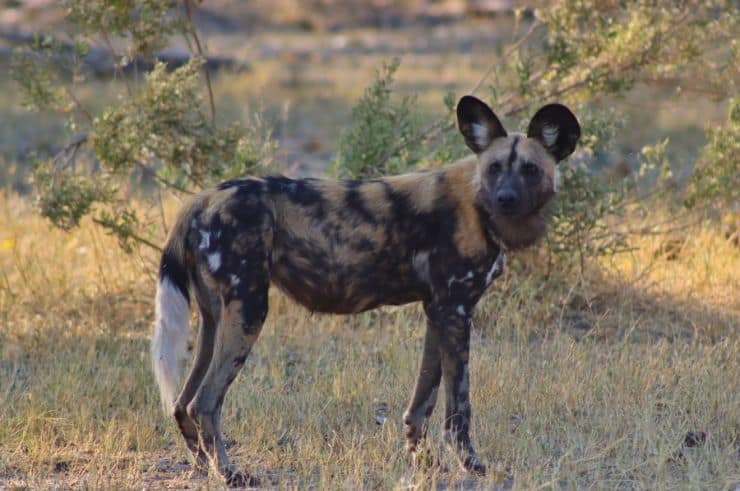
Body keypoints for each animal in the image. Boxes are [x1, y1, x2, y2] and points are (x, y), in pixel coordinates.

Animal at [150, 96, 580, 488]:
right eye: (494, 169)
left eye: (530, 170)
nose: (505, 199)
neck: (477, 203)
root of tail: (202, 198)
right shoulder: (457, 312)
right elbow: (459, 407)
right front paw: (471, 466)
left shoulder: (439, 312)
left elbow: (422, 401)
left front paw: (424, 464)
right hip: (249, 311)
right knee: (205, 402)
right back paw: (230, 473)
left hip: (214, 321)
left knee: (182, 402)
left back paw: (203, 467)